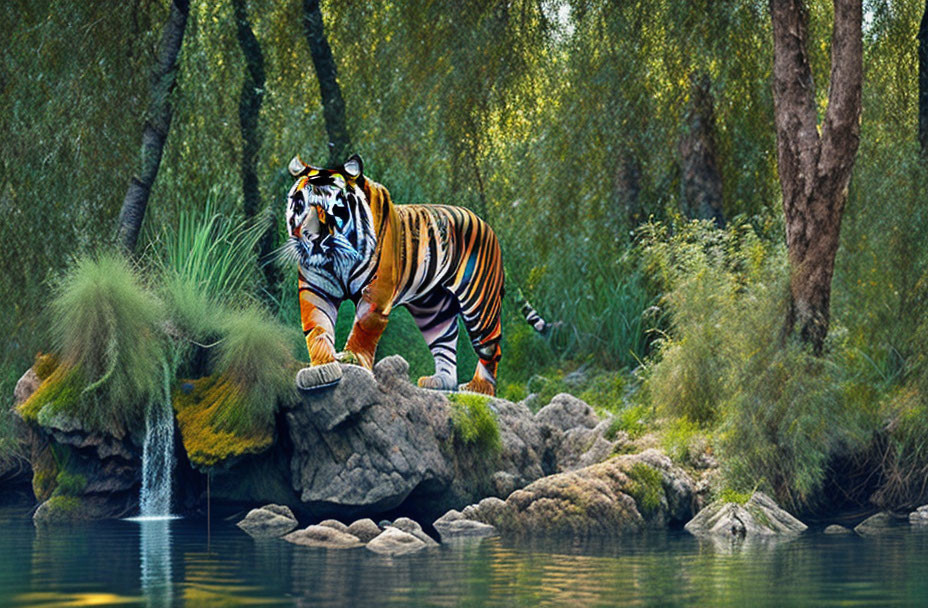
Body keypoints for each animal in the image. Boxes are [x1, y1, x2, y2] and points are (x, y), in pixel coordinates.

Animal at [286, 154, 512, 396]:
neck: (337, 259)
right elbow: (318, 327)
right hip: (432, 309)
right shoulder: (314, 288)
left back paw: (479, 387)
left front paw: (351, 358)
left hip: (479, 302)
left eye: (333, 207)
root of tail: (483, 221)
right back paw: (441, 381)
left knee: (490, 347)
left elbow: (363, 327)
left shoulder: (377, 291)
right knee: (445, 340)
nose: (311, 238)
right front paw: (322, 368)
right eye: (300, 204)